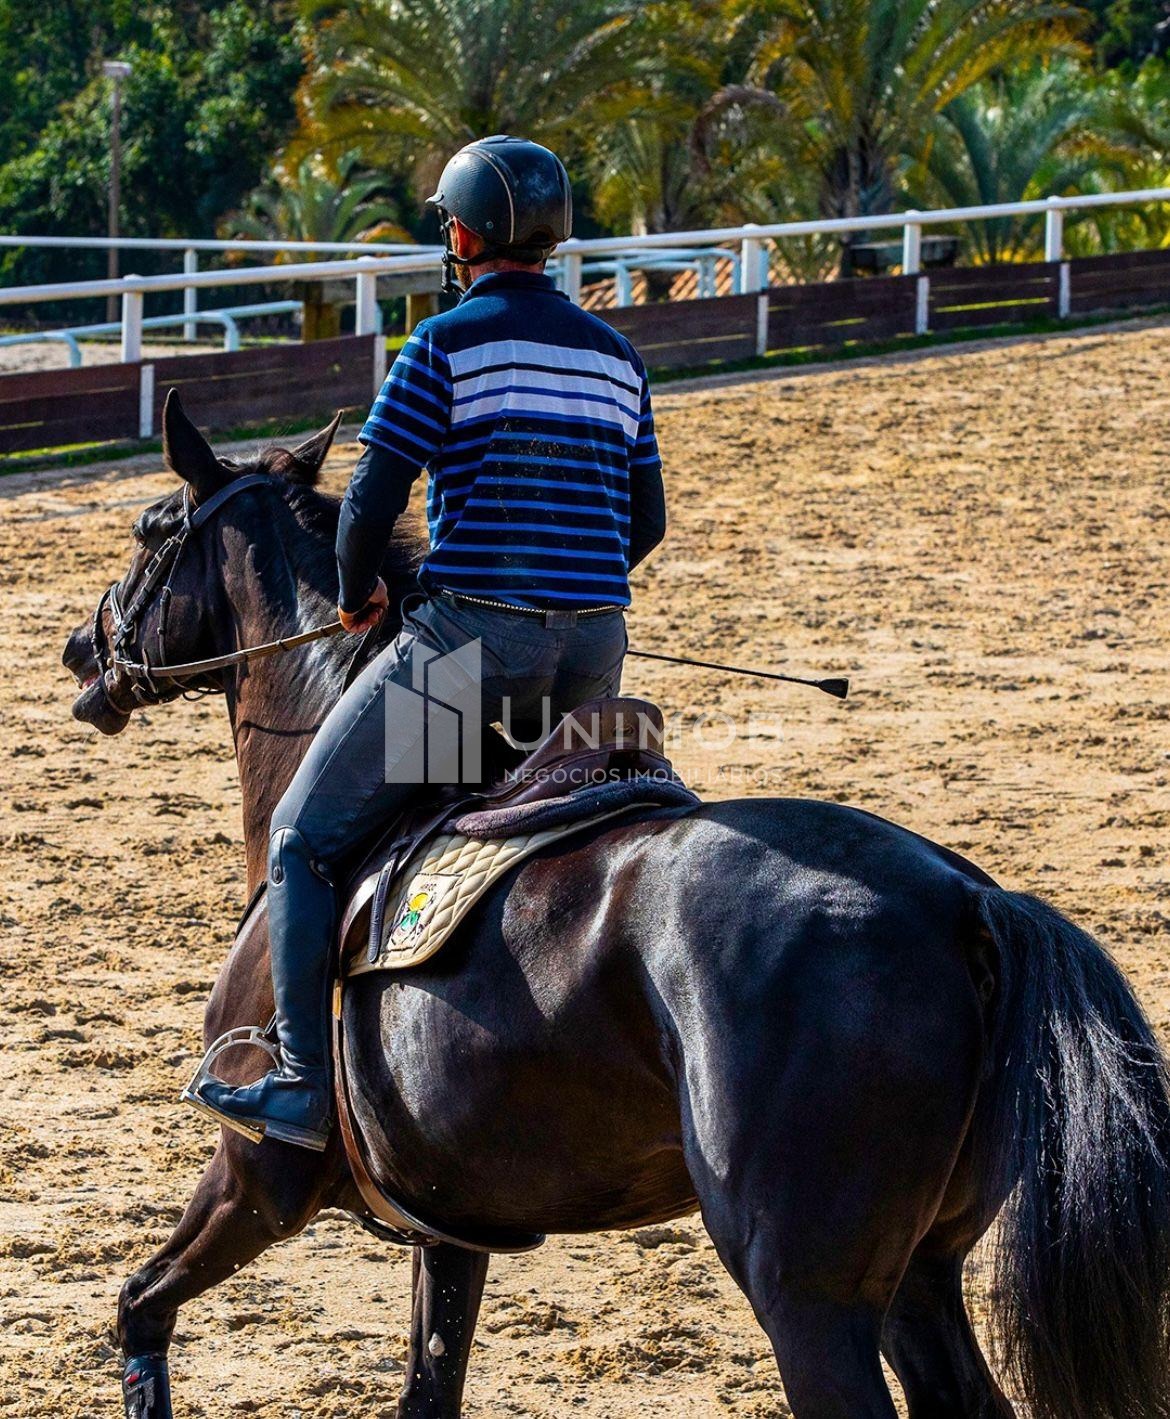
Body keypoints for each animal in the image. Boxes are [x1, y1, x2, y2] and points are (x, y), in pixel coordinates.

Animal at [63, 392, 1170, 1419]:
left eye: (152, 529)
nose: (82, 647)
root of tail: (967, 900)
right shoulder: (448, 1228)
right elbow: (426, 1388)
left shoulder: (256, 1181)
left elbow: (139, 1305)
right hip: (920, 1276)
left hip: (811, 1297)